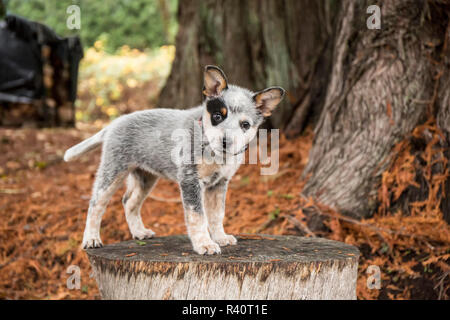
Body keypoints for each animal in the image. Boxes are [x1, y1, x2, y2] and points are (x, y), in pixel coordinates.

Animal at [65, 65, 284, 255]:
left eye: (245, 125)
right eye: (217, 116)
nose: (226, 142)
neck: (211, 149)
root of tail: (114, 123)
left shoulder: (219, 183)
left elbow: (216, 215)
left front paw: (220, 237)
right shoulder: (190, 180)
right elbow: (197, 216)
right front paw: (204, 244)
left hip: (145, 177)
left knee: (129, 201)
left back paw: (139, 232)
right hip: (113, 170)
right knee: (96, 203)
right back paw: (91, 239)